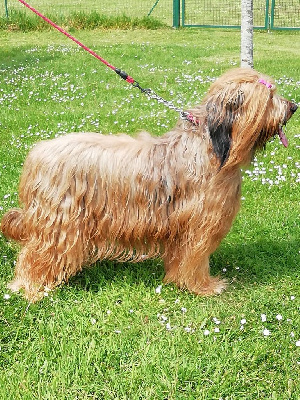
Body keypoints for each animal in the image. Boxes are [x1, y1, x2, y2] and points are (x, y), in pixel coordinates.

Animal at [0, 68, 298, 300]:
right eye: (269, 97)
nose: (294, 106)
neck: (211, 146)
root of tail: (37, 154)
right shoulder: (199, 225)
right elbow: (195, 258)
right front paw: (203, 287)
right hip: (59, 223)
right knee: (36, 255)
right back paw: (32, 288)